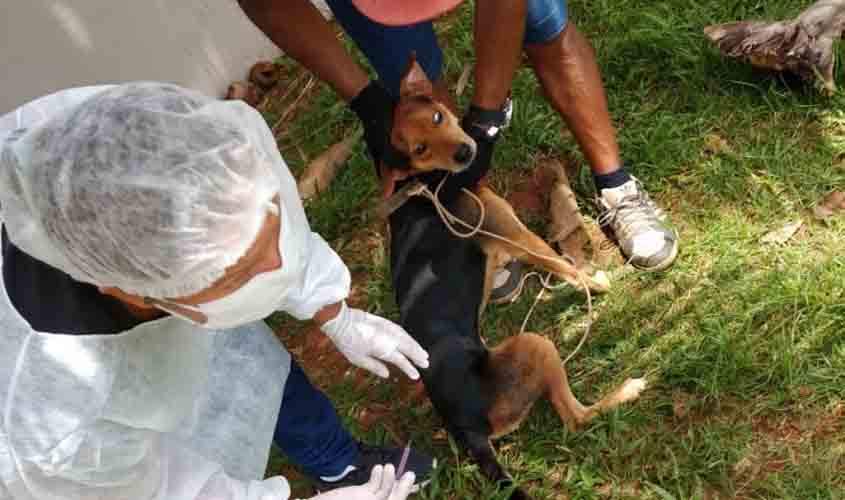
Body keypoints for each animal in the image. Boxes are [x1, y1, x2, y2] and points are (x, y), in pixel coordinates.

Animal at [382, 54, 648, 500]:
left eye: (437, 117)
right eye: (419, 149)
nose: (465, 152)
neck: (425, 182)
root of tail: (464, 430)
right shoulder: (515, 234)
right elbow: (564, 267)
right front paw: (597, 283)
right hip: (535, 344)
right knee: (575, 418)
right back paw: (628, 390)